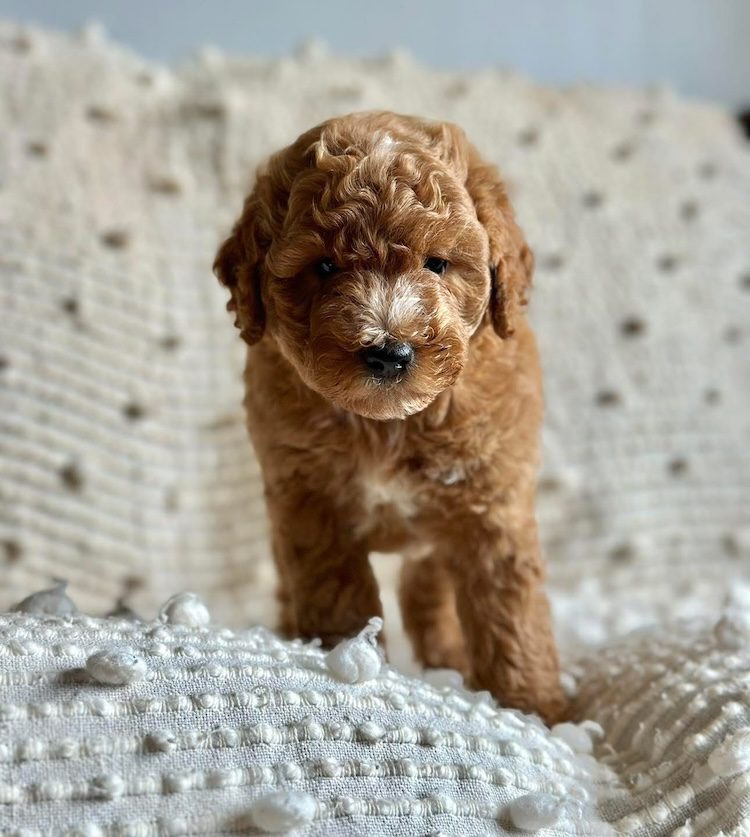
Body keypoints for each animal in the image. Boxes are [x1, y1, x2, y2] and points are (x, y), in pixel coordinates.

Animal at [214, 111, 566, 722]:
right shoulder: (309, 500)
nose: (388, 351)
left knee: (428, 586)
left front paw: (536, 710)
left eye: (438, 264)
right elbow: (335, 590)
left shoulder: (492, 504)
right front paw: (346, 660)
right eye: (324, 266)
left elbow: (509, 612)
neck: (390, 423)